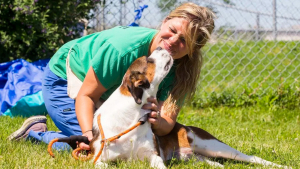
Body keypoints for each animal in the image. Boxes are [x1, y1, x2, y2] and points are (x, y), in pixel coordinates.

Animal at [89, 46, 288, 168]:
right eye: (149, 60)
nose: (160, 47)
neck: (134, 115)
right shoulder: (97, 159)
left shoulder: (154, 156)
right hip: (194, 156)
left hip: (213, 145)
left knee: (252, 158)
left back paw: (281, 165)